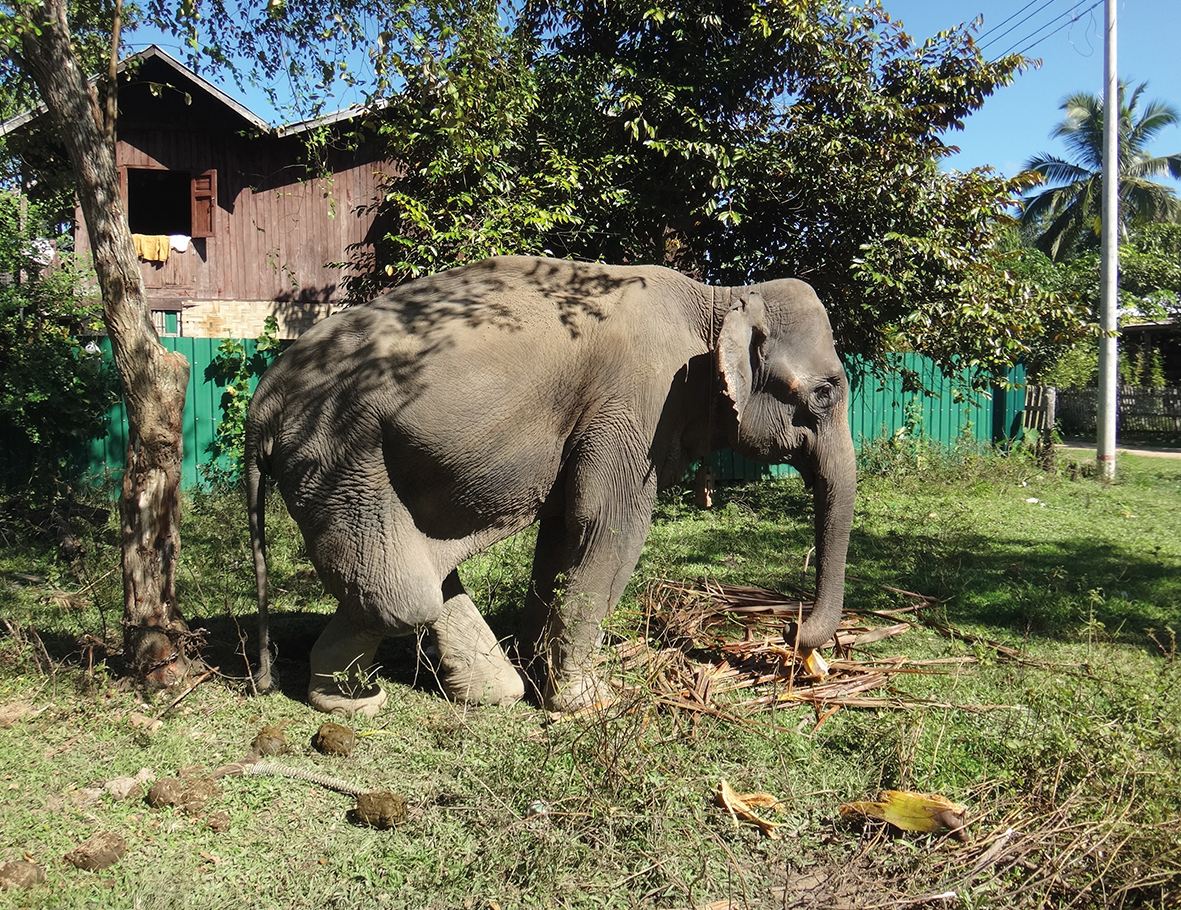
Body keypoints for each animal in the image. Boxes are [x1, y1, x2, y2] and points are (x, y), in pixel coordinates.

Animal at [246, 254, 859, 717]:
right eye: (826, 392)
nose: (792, 636)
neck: (715, 298)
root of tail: (262, 402)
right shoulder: (640, 400)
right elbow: (607, 525)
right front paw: (587, 702)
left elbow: (565, 527)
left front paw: (542, 673)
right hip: (340, 456)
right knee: (404, 595)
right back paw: (352, 702)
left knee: (420, 574)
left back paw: (479, 690)